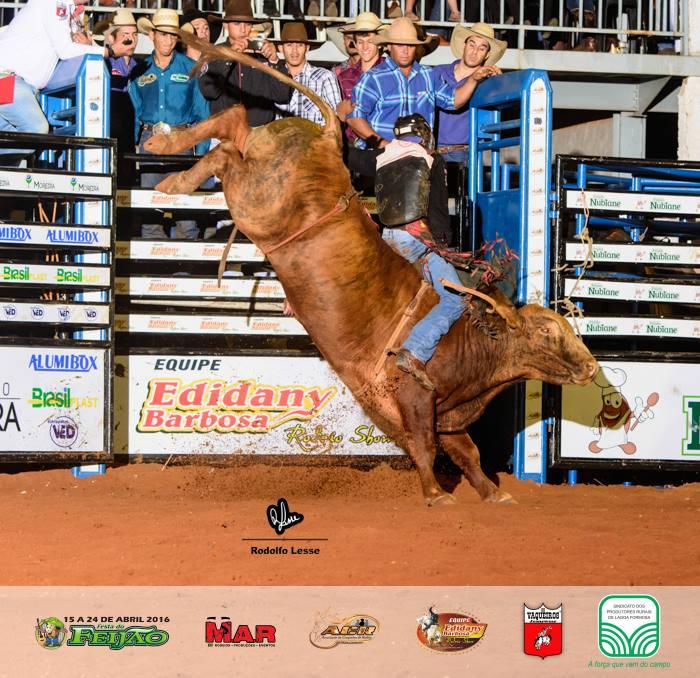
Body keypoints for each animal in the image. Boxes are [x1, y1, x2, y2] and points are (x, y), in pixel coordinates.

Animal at [146, 34, 596, 508]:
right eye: (547, 331)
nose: (590, 367)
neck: (476, 341)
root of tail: (328, 136)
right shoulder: (415, 397)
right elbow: (423, 446)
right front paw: (436, 495)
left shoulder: (449, 415)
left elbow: (467, 453)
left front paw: (494, 494)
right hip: (257, 199)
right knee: (229, 143)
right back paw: (172, 169)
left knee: (233, 129)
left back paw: (168, 162)